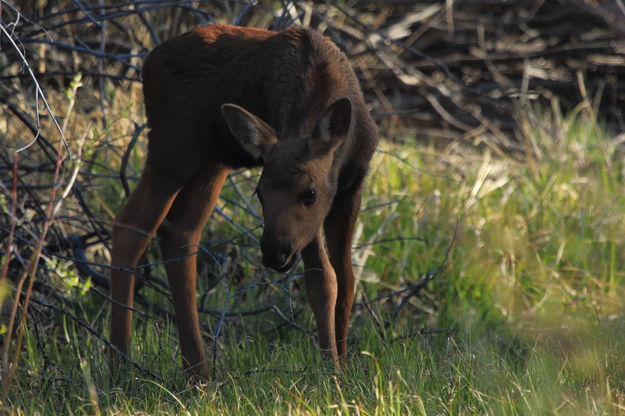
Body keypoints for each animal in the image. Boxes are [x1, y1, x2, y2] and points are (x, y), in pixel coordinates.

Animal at [109, 23, 378, 380]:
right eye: (259, 193)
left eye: (310, 193)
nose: (274, 250)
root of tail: (147, 64)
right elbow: (323, 280)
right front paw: (331, 372)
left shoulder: (351, 189)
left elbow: (347, 279)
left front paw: (345, 366)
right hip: (173, 149)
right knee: (131, 226)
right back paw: (120, 365)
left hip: (213, 161)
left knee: (180, 234)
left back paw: (198, 373)